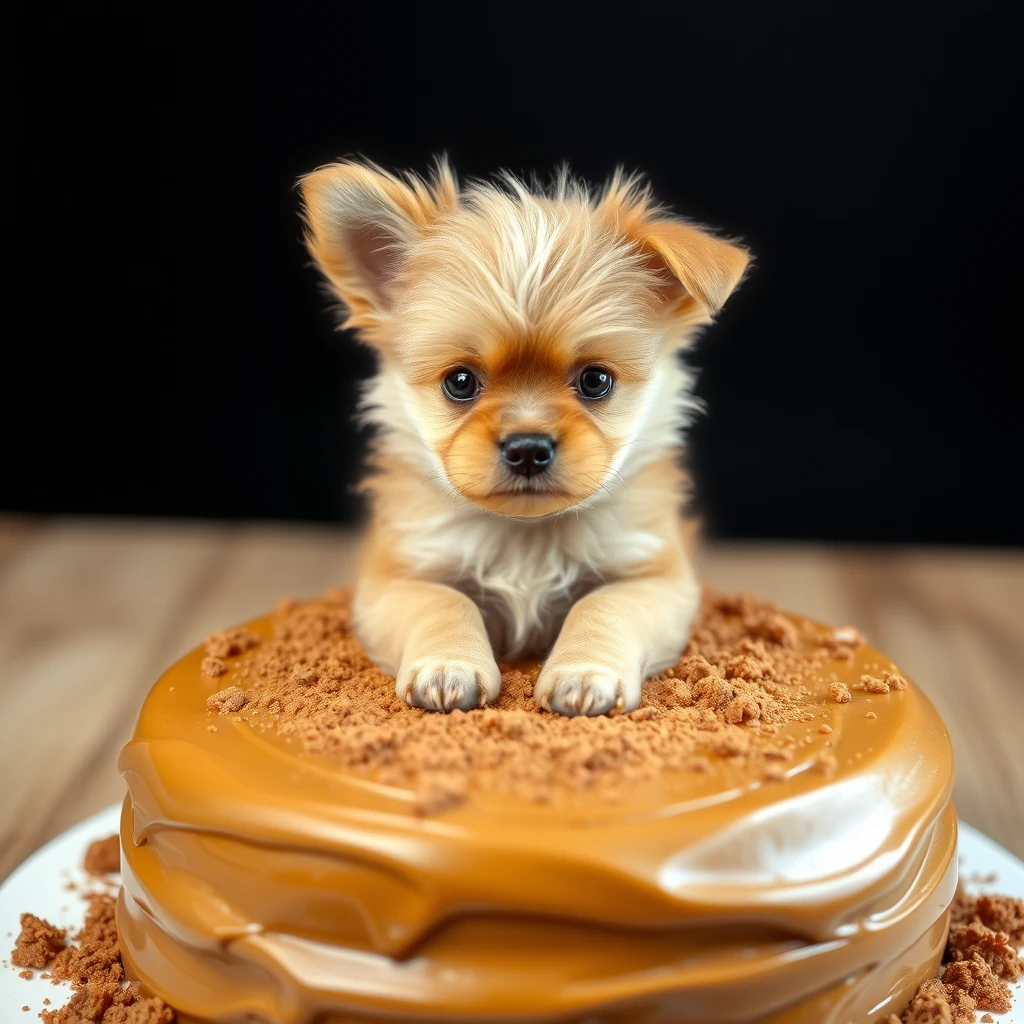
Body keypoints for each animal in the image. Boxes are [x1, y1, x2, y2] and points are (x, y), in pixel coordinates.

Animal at [299, 161, 749, 720]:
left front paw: (583, 674)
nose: (527, 447)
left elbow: (602, 605)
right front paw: (448, 667)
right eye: (460, 382)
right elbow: (445, 603)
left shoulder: (658, 580)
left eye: (595, 381)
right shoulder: (394, 580)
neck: (526, 537)